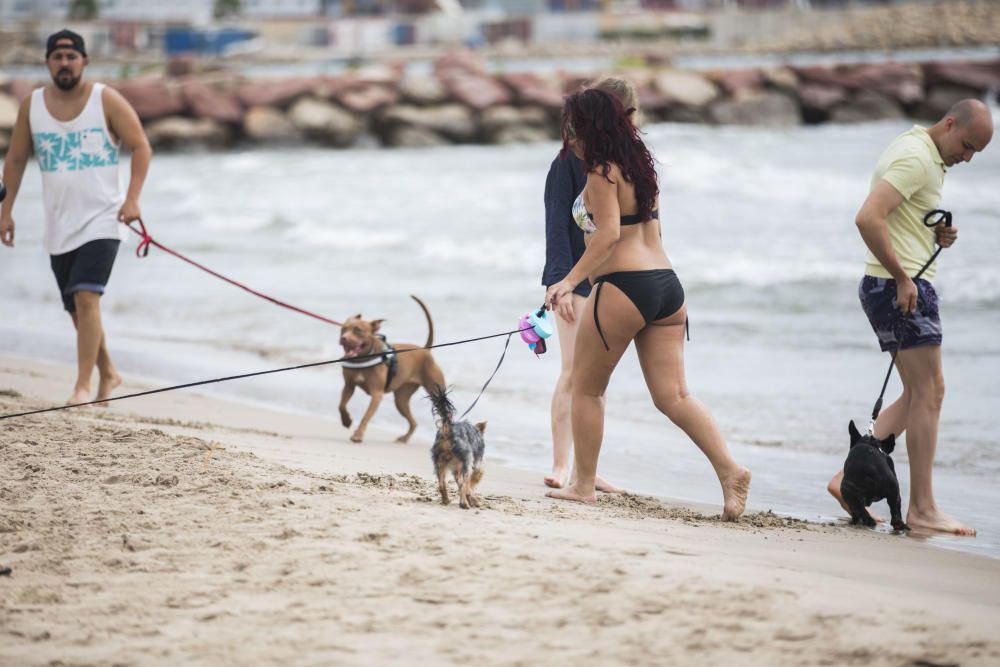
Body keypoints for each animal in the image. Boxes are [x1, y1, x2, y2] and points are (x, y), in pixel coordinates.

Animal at [338, 296, 444, 444]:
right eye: (343, 329)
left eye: (358, 330)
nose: (343, 338)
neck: (362, 358)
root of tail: (425, 350)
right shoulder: (349, 386)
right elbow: (341, 405)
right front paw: (346, 420)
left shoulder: (377, 394)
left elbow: (366, 416)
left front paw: (358, 434)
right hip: (401, 399)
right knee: (413, 422)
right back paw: (404, 438)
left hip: (435, 391)